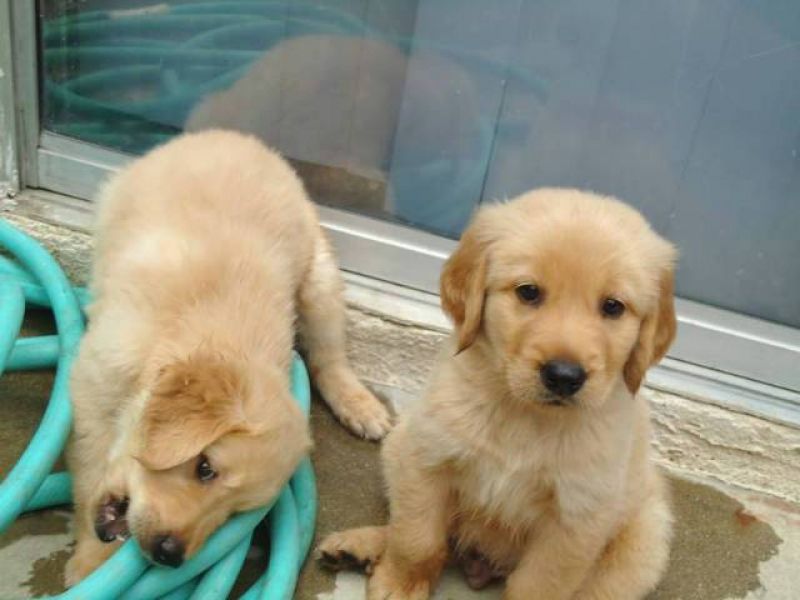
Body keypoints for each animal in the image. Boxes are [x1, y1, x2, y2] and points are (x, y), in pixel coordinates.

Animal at [65, 129, 390, 584]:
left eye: (234, 512)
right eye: (204, 467)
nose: (170, 555)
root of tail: (232, 135)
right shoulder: (93, 387)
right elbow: (92, 468)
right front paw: (92, 564)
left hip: (320, 280)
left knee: (329, 356)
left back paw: (361, 406)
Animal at [318, 189, 676, 600]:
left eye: (613, 307)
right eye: (528, 292)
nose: (564, 376)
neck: (524, 413)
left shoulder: (576, 519)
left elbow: (539, 585)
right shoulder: (426, 458)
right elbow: (417, 539)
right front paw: (400, 584)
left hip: (642, 546)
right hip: (398, 444)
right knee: (429, 534)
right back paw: (358, 547)